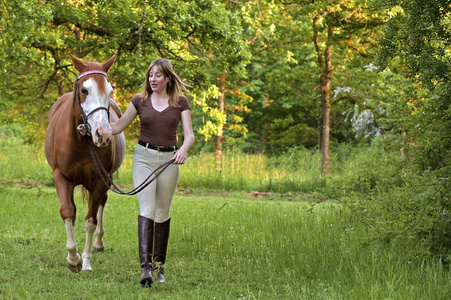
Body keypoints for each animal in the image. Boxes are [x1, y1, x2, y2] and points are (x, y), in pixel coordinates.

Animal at [45, 52, 126, 274]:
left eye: (110, 90)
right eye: (84, 90)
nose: (103, 135)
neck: (81, 142)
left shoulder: (100, 180)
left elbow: (91, 220)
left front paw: (86, 261)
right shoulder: (61, 177)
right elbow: (67, 211)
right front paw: (73, 259)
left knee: (101, 204)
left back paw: (98, 243)